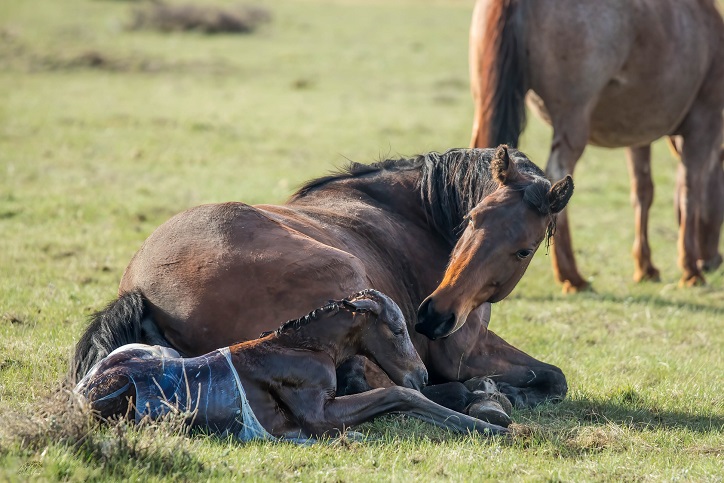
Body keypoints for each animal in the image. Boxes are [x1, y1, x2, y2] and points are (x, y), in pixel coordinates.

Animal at [70, 147, 576, 408]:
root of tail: (140, 289)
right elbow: (554, 377)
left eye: (523, 249)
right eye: (471, 219)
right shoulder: (461, 352)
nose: (433, 316)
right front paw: (501, 389)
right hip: (346, 271)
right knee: (384, 382)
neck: (414, 215)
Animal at [75, 290, 510, 444]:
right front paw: (497, 428)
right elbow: (398, 394)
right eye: (399, 329)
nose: (421, 374)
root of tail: (85, 389)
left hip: (157, 352)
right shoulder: (319, 416)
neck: (304, 347)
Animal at [470, 0, 724, 292]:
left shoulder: (638, 134)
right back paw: (571, 275)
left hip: (484, 104)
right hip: (573, 119)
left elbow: (643, 192)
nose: (713, 261)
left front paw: (646, 267)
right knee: (557, 175)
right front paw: (691, 270)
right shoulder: (704, 122)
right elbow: (690, 192)